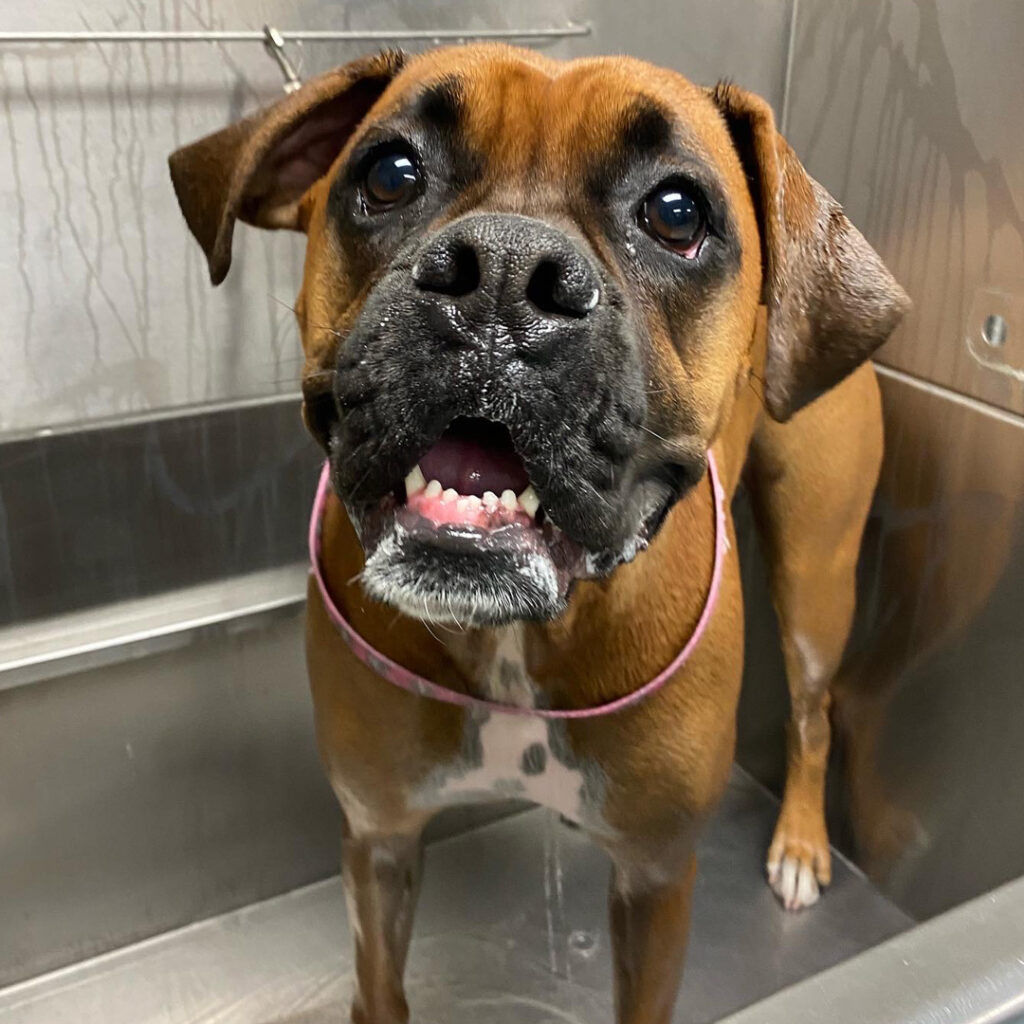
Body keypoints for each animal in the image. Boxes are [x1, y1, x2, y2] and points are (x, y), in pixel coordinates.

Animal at [169, 46, 913, 1024]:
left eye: (677, 212)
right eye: (389, 172)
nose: (502, 272)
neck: (518, 638)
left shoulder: (655, 880)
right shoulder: (379, 839)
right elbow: (381, 986)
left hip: (816, 581)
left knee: (813, 711)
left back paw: (798, 843)